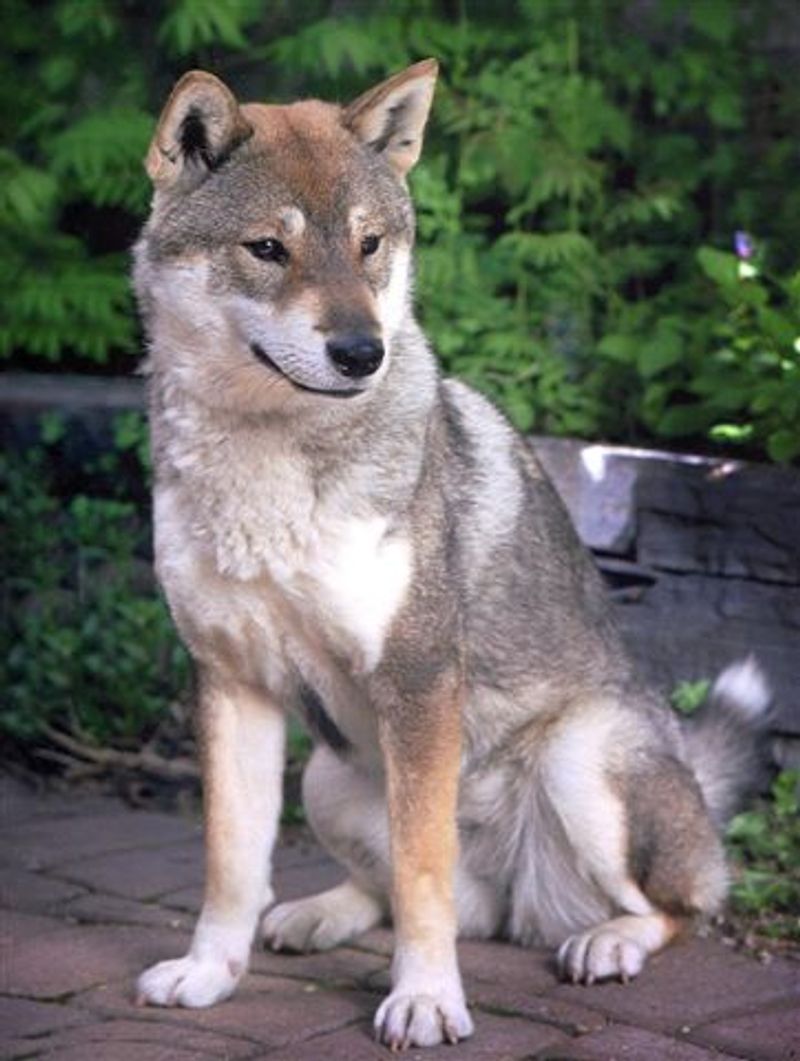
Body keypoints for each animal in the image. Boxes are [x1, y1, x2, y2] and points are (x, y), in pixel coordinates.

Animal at [133, 60, 772, 1049]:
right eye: (268, 249)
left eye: (369, 245)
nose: (361, 351)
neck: (271, 458)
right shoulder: (232, 681)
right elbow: (232, 864)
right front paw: (209, 973)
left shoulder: (421, 677)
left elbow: (422, 871)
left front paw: (428, 999)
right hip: (326, 773)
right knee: (400, 893)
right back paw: (317, 914)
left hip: (580, 754)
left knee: (678, 906)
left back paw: (606, 943)